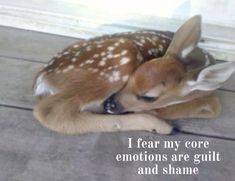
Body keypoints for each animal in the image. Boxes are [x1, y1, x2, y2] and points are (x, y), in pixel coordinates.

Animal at [32, 15, 235, 134]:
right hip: (120, 60)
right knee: (50, 112)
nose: (110, 104)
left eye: (149, 97)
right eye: (132, 78)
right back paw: (162, 127)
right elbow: (215, 105)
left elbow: (215, 105)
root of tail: (42, 77)